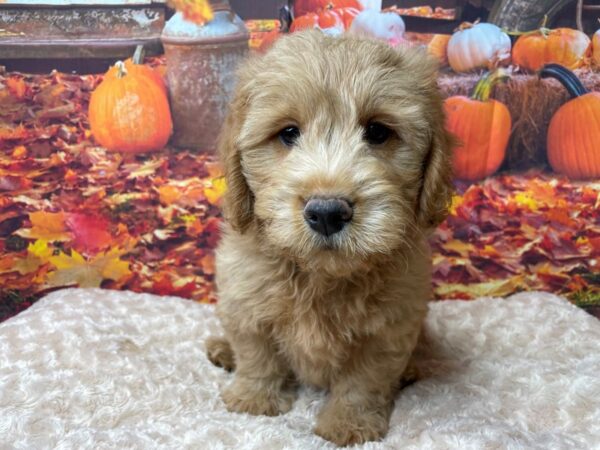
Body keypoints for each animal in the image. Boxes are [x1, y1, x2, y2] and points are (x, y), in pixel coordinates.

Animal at [209, 31, 452, 446]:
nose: (326, 212)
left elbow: (363, 380)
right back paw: (222, 350)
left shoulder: (389, 328)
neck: (321, 276)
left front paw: (348, 424)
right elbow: (257, 353)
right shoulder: (244, 298)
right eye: (288, 133)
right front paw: (254, 399)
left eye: (378, 132)